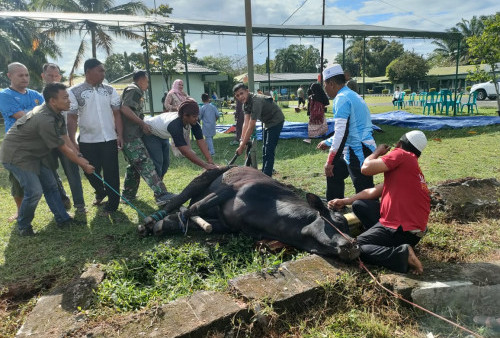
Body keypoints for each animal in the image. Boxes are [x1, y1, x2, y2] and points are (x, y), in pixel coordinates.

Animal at [141, 166, 360, 262]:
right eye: (338, 220)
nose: (354, 245)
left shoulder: (228, 225)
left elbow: (200, 222)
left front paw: (166, 225)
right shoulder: (227, 190)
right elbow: (193, 209)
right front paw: (166, 221)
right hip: (202, 177)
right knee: (178, 200)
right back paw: (150, 220)